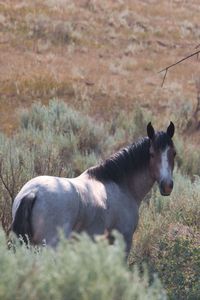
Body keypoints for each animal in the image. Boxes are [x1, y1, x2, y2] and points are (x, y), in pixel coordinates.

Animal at [11, 121, 176, 253]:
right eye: (152, 154)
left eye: (173, 153)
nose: (167, 185)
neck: (121, 185)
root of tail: (33, 193)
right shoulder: (123, 240)